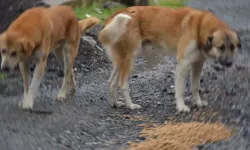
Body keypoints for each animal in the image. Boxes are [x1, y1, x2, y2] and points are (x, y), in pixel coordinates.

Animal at [98, 6, 241, 112]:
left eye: (232, 47)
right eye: (221, 47)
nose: (229, 63)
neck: (199, 26)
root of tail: (113, 16)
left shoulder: (198, 64)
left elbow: (195, 86)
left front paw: (198, 103)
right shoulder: (183, 64)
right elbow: (181, 89)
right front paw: (181, 107)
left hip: (121, 62)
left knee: (111, 82)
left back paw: (114, 103)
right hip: (130, 61)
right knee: (122, 84)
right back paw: (130, 105)